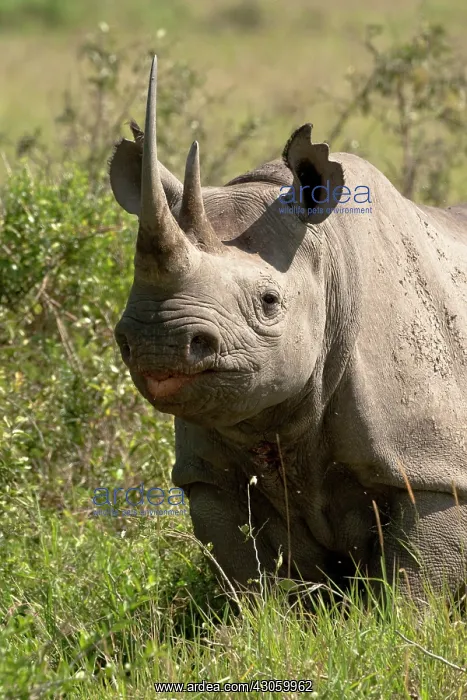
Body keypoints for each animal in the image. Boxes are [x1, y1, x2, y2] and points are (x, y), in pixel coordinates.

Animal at [110, 56, 467, 600]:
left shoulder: (431, 463)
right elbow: (250, 576)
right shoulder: (210, 476)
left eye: (269, 302)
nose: (158, 342)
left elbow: (416, 583)